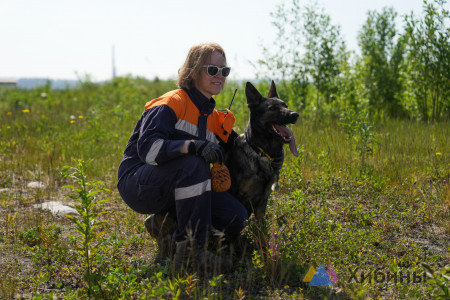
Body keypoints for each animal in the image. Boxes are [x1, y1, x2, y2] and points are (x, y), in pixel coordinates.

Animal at [229, 81, 298, 219]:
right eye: (272, 108)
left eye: (286, 105)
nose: (295, 115)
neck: (262, 153)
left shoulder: (263, 201)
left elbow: (261, 223)